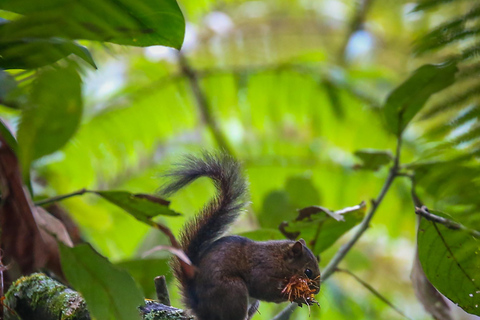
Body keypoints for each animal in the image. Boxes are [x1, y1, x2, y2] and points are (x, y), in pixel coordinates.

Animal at [159, 152, 320, 320]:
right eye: (308, 272)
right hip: (234, 291)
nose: (317, 290)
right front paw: (299, 296)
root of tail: (199, 308)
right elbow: (264, 288)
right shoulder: (262, 268)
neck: (278, 258)